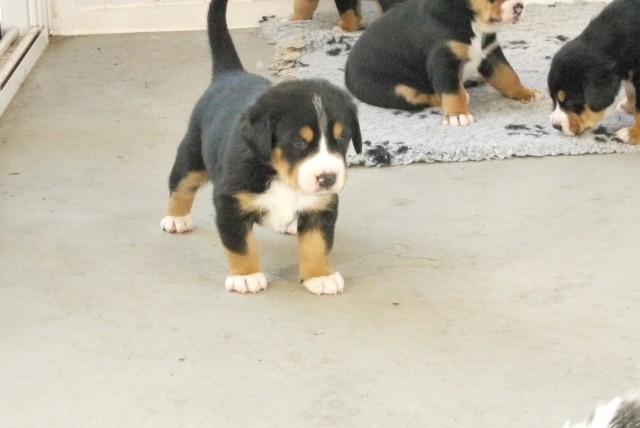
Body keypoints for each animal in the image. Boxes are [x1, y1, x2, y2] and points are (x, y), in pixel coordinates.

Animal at [160, 0, 360, 294]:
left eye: (342, 138)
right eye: (299, 141)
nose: (327, 178)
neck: (279, 175)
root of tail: (231, 74)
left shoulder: (322, 206)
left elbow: (318, 243)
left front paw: (320, 276)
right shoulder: (229, 202)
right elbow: (240, 245)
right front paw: (246, 276)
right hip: (192, 154)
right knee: (181, 185)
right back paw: (176, 218)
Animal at [344, 0, 540, 125]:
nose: (519, 7)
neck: (471, 18)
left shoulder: (490, 52)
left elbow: (508, 75)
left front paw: (525, 92)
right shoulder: (443, 61)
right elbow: (451, 91)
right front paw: (458, 115)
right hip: (393, 89)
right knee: (423, 96)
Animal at [544, 0, 640, 145]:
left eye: (570, 101)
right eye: (553, 98)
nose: (555, 126)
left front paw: (632, 133)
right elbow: (630, 90)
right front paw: (629, 106)